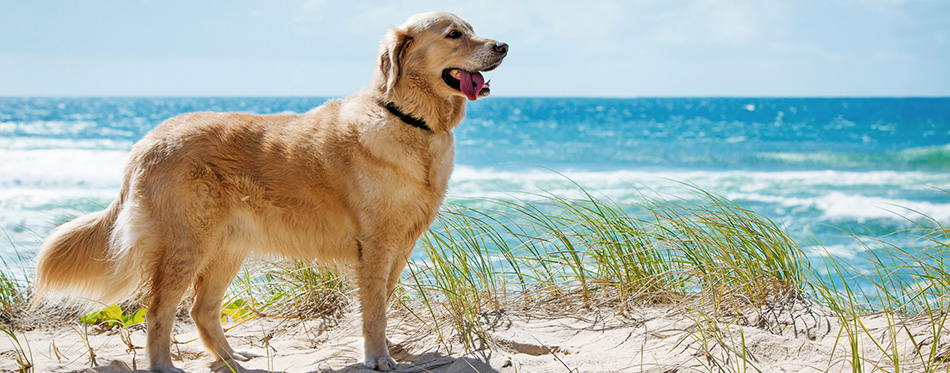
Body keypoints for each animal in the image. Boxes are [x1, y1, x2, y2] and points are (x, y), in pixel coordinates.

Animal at [31, 10, 506, 370]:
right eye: (453, 34)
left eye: (473, 27)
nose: (503, 46)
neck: (409, 119)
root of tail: (150, 138)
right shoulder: (375, 244)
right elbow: (373, 310)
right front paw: (376, 357)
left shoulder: (400, 244)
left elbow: (382, 303)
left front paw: (387, 349)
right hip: (187, 244)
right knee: (159, 311)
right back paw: (165, 365)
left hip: (227, 247)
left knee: (201, 310)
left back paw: (231, 359)